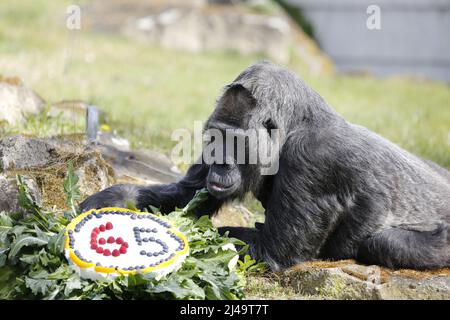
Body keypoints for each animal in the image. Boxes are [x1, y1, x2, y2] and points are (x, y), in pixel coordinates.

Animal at [81, 60, 450, 270]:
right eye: (214, 137)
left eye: (235, 141)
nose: (219, 162)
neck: (296, 124)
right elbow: (185, 196)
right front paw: (112, 200)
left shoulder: (312, 158)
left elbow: (269, 251)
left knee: (383, 243)